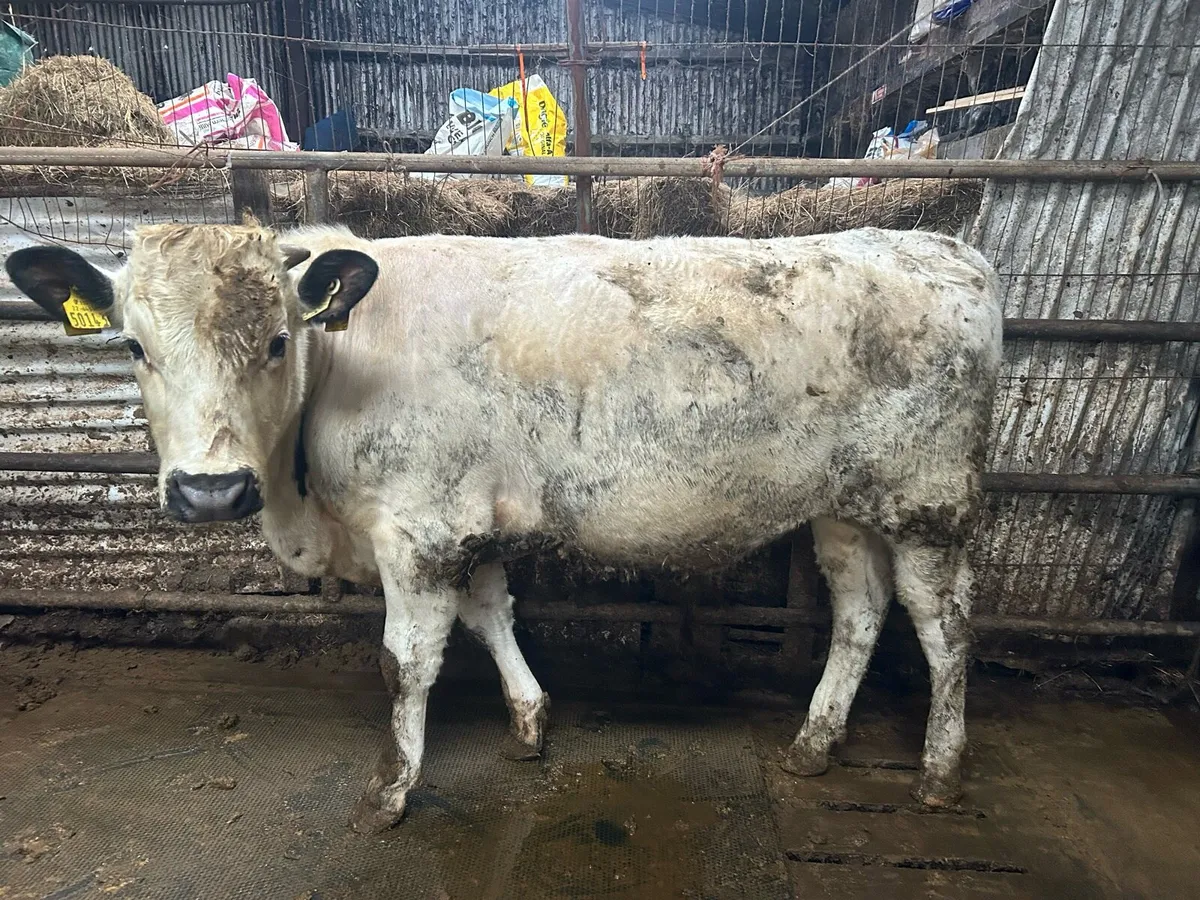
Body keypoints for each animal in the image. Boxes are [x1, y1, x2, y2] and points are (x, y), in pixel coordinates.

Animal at [7, 221, 1001, 833]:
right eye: (133, 346)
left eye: (279, 342)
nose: (211, 491)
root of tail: (940, 246)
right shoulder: (464, 521)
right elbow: (491, 615)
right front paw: (530, 721)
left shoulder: (419, 527)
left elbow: (406, 663)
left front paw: (390, 790)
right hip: (845, 504)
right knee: (861, 611)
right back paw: (815, 745)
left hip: (930, 500)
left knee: (944, 626)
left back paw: (942, 771)